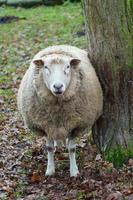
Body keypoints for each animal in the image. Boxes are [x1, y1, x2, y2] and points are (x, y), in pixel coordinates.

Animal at [17, 45, 103, 177]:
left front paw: (74, 171)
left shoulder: (75, 125)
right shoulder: (45, 125)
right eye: (46, 67)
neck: (57, 110)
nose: (58, 86)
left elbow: (72, 148)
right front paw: (50, 170)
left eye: (67, 67)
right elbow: (49, 148)